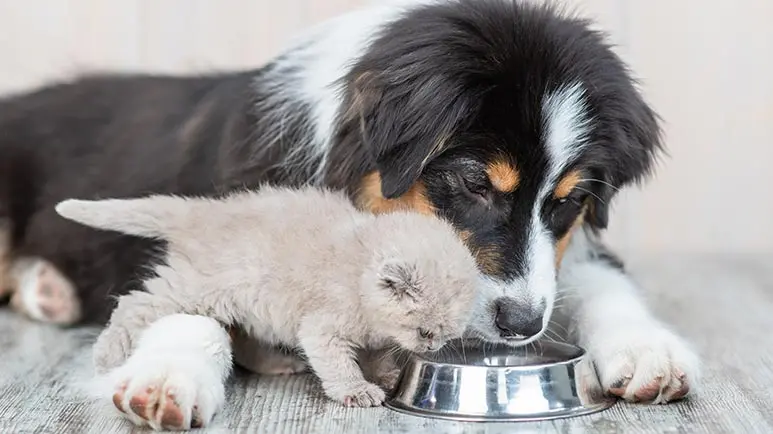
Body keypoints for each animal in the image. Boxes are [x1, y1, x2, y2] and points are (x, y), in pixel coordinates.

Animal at [57, 186, 482, 406]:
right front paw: (357, 390)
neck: (358, 269)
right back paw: (106, 354)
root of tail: (201, 211)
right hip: (196, 288)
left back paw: (275, 364)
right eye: (425, 331)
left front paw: (387, 372)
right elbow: (339, 364)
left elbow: (374, 353)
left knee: (243, 338)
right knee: (134, 304)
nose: (431, 349)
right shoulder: (322, 329)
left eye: (445, 335)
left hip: (245, 302)